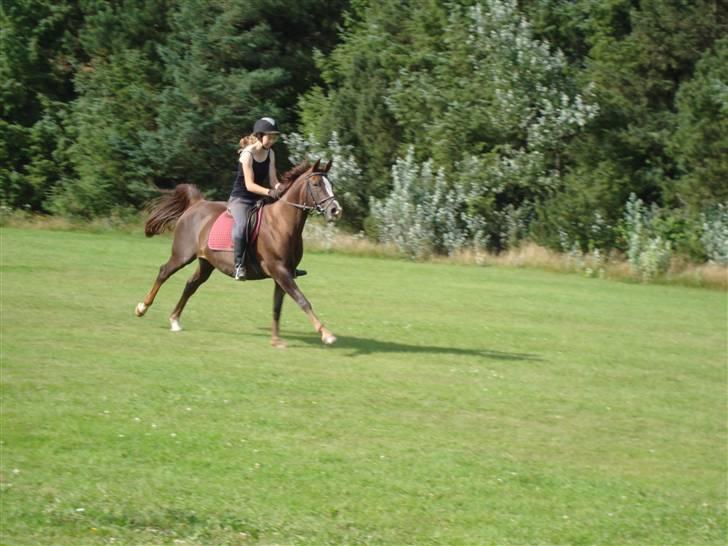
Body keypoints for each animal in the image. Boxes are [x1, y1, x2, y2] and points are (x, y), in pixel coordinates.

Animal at [136, 157, 342, 346]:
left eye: (331, 184)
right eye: (316, 184)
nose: (335, 210)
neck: (282, 223)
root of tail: (197, 203)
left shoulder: (284, 273)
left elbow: (277, 306)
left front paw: (276, 340)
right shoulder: (279, 271)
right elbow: (302, 300)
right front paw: (326, 334)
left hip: (207, 263)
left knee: (191, 285)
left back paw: (175, 320)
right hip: (183, 255)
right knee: (164, 272)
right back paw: (142, 308)